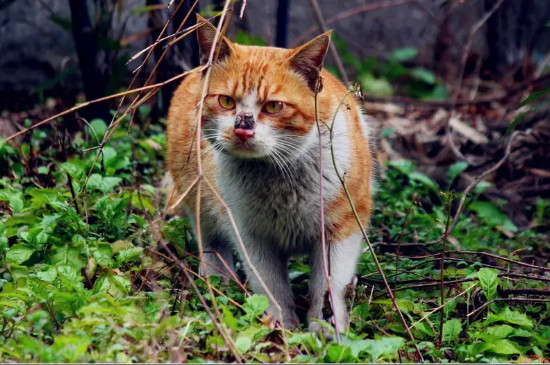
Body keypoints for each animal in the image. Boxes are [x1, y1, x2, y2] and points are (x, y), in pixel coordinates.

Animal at [167, 15, 376, 332]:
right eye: (226, 101)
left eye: (274, 106)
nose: (243, 127)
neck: (278, 177)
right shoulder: (251, 237)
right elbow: (271, 287)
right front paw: (284, 331)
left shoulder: (342, 231)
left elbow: (329, 291)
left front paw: (326, 334)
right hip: (199, 202)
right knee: (212, 243)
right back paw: (218, 282)